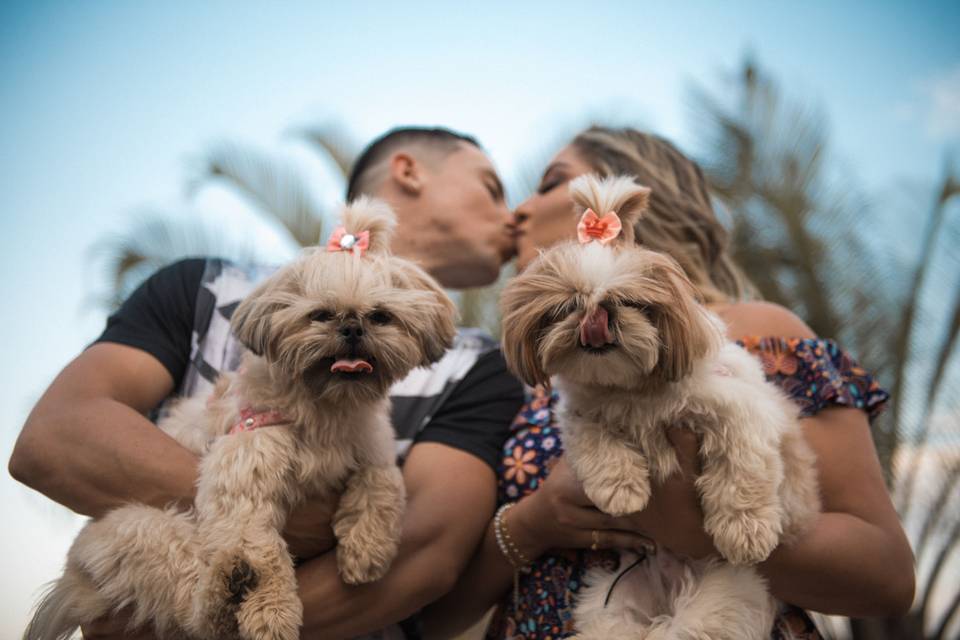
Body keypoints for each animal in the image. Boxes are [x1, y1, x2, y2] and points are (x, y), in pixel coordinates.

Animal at [24, 198, 456, 640]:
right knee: (192, 604)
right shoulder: (246, 468)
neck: (325, 407)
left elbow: (382, 486)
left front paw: (366, 549)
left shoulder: (371, 446)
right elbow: (261, 548)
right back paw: (227, 588)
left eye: (381, 316)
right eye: (320, 315)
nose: (352, 327)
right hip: (141, 526)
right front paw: (272, 611)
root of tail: (74, 581)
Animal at [498, 175, 820, 640]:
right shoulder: (581, 415)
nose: (595, 324)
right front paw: (621, 490)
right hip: (609, 602)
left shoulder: (741, 412)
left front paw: (746, 531)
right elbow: (596, 444)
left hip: (723, 598)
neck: (630, 390)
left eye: (629, 303)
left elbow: (742, 472)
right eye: (567, 306)